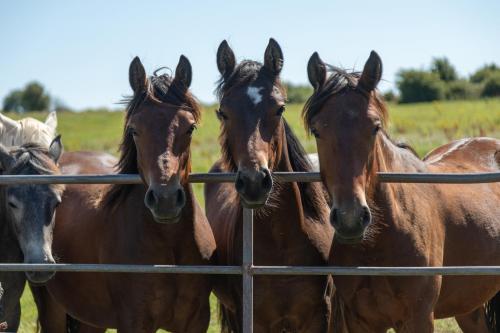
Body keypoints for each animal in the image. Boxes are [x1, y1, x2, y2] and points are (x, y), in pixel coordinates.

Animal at [37, 55, 217, 330]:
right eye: (134, 130)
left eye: (190, 128)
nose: (165, 200)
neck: (169, 246)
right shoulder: (133, 321)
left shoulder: (196, 321)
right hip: (51, 307)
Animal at [205, 38, 334, 330]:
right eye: (223, 112)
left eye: (280, 108)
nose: (254, 181)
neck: (281, 243)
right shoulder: (250, 318)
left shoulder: (319, 317)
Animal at [302, 50, 500, 330]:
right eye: (317, 130)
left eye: (374, 127)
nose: (351, 219)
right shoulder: (361, 321)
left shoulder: (418, 318)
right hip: (469, 305)